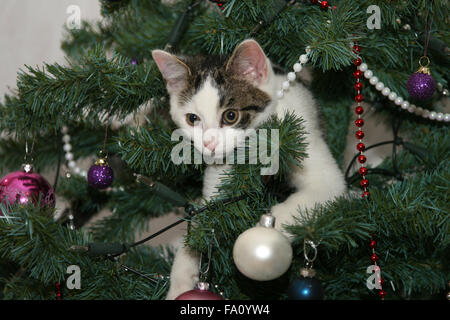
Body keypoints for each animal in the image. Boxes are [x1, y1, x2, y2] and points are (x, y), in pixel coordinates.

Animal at [153, 38, 346, 298]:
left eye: (231, 116)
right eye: (192, 119)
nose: (209, 143)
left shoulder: (308, 144)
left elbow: (321, 189)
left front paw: (264, 236)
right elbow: (205, 219)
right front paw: (180, 282)